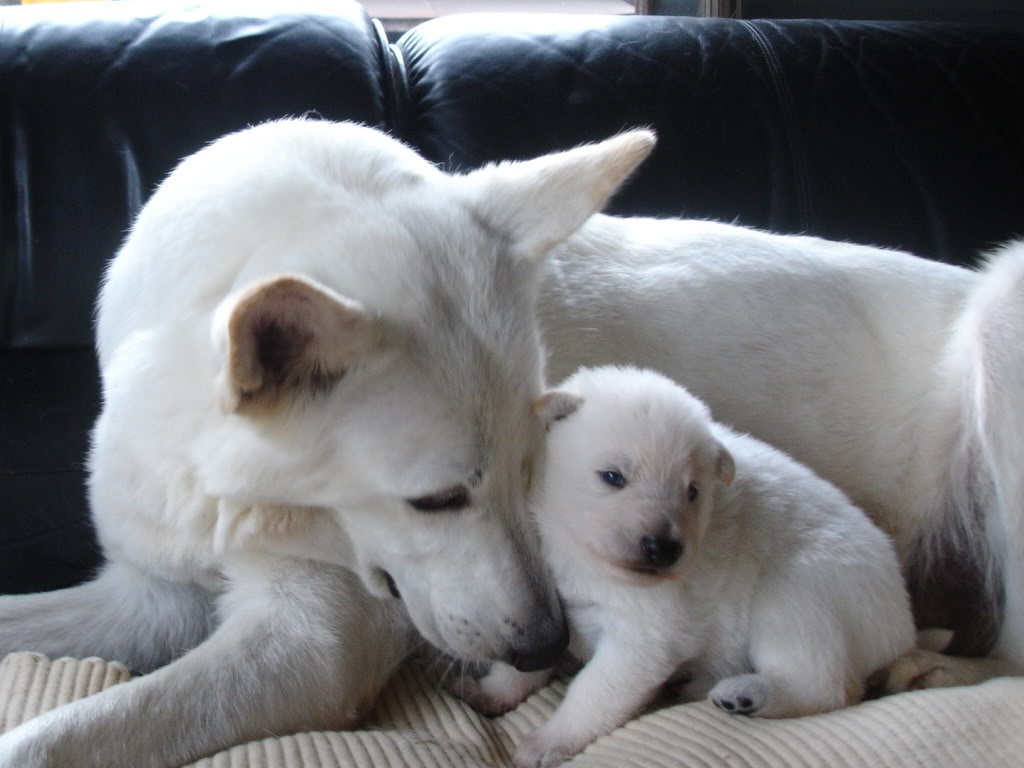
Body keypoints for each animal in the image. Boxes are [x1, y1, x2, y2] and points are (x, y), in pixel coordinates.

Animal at [509, 368, 913, 768]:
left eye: (692, 492)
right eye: (612, 476)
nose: (664, 548)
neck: (586, 560)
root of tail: (903, 630)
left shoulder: (646, 633)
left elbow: (593, 690)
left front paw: (546, 741)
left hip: (797, 593)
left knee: (826, 685)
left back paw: (745, 693)